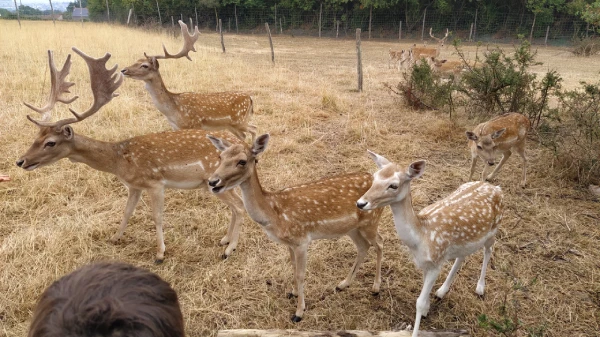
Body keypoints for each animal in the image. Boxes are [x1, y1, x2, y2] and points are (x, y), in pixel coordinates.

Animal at [16, 47, 246, 262]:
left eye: (50, 142)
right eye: (36, 136)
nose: (21, 161)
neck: (119, 161)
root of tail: (240, 144)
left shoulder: (155, 183)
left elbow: (157, 217)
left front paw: (160, 253)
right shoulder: (134, 186)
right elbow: (127, 211)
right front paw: (115, 237)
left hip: (213, 179)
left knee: (240, 206)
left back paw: (229, 249)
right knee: (236, 206)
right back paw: (225, 240)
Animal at [122, 20, 255, 140]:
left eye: (144, 65)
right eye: (136, 61)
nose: (123, 70)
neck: (173, 112)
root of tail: (250, 98)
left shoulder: (194, 124)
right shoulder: (176, 128)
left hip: (239, 120)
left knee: (254, 129)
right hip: (232, 125)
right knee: (244, 135)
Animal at [206, 133, 384, 322]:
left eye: (242, 161)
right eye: (220, 157)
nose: (213, 181)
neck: (274, 214)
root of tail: (373, 178)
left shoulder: (301, 240)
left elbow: (300, 274)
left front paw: (299, 312)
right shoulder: (290, 243)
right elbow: (292, 266)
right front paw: (293, 292)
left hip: (371, 221)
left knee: (380, 242)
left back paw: (375, 288)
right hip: (353, 228)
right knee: (363, 247)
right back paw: (342, 284)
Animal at [358, 152, 504, 336]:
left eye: (393, 185)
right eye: (375, 177)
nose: (361, 203)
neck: (421, 238)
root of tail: (497, 189)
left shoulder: (436, 263)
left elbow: (418, 303)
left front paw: (421, 317)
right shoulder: (424, 264)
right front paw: (428, 308)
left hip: (494, 229)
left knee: (489, 250)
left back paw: (480, 288)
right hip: (465, 242)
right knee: (462, 256)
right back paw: (441, 291)